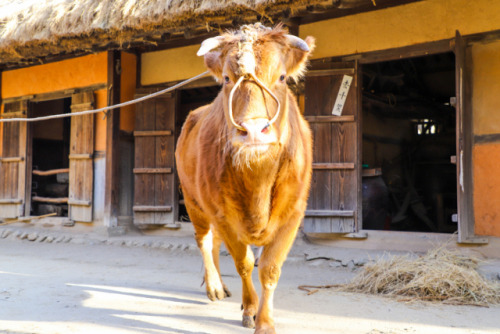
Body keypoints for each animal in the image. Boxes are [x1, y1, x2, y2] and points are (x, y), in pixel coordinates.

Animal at [175, 24, 312, 334]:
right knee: (204, 240)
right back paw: (214, 285)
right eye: (227, 78)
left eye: (282, 76)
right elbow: (245, 264)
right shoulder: (223, 215)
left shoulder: (293, 215)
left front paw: (265, 321)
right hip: (194, 202)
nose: (253, 130)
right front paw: (250, 308)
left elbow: (269, 268)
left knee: (213, 243)